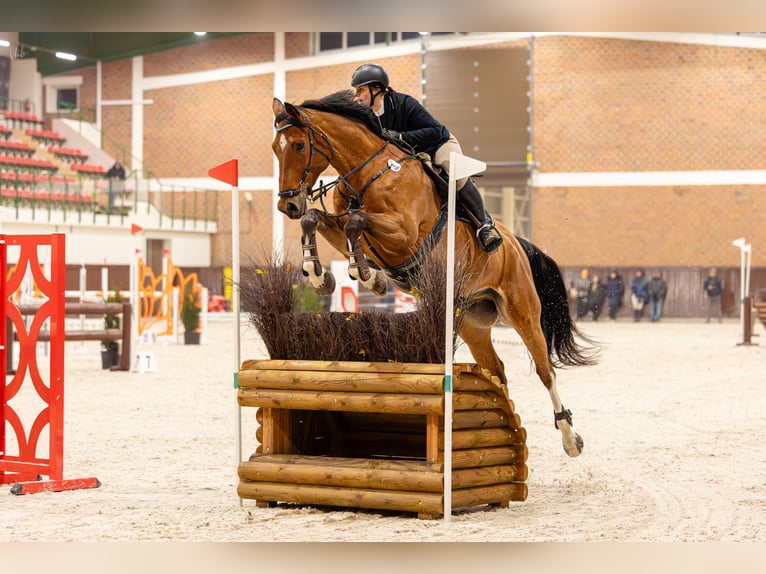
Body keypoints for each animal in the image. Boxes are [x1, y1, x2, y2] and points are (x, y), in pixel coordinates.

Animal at [270, 90, 600, 460]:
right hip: (471, 321)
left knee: (546, 371)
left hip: (523, 311)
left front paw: (368, 277)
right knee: (497, 370)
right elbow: (317, 219)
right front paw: (321, 276)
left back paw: (570, 438)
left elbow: (357, 222)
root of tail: (516, 243)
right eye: (274, 148)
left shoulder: (404, 234)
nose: (287, 205)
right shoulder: (345, 230)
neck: (367, 173)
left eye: (299, 145)